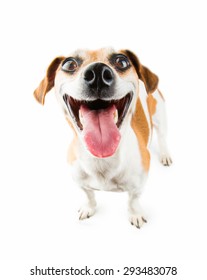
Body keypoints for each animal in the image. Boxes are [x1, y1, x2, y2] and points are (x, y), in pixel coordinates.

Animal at [33, 47, 171, 228]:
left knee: (162, 138)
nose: (98, 72)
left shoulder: (138, 185)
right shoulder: (81, 182)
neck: (102, 160)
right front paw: (88, 207)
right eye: (69, 64)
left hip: (160, 116)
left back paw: (165, 155)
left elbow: (133, 200)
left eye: (122, 61)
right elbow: (89, 195)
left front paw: (135, 214)